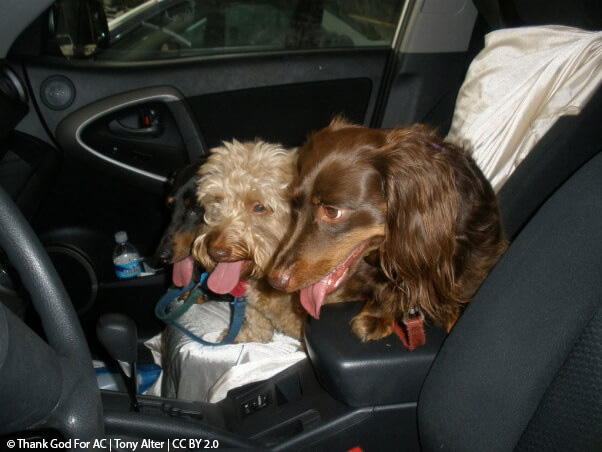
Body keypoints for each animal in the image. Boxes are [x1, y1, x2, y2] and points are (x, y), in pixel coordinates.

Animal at [191, 139, 304, 340]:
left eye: (259, 207)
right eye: (217, 200)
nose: (216, 252)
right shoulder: (254, 306)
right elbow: (257, 327)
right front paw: (242, 337)